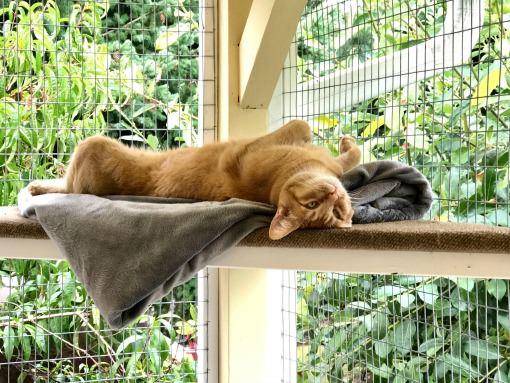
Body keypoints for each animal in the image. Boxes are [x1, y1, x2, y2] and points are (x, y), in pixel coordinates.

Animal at [27, 121, 360, 240]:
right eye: (313, 204)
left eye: (334, 213)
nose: (334, 195)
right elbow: (311, 131)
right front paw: (346, 146)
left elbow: (342, 156)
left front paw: (345, 149)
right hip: (93, 144)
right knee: (65, 187)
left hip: (91, 145)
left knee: (68, 187)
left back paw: (38, 186)